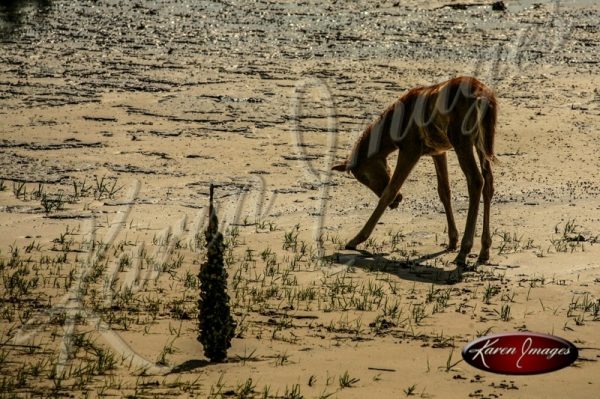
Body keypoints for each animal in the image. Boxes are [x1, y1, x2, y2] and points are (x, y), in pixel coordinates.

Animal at [332, 76, 496, 268]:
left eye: (363, 176)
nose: (397, 202)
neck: (392, 127)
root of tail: (483, 97)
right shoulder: (438, 151)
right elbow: (444, 191)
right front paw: (451, 240)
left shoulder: (410, 149)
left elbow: (390, 190)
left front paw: (357, 239)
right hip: (481, 143)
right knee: (488, 182)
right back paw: (484, 250)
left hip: (462, 141)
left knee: (476, 180)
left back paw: (464, 251)